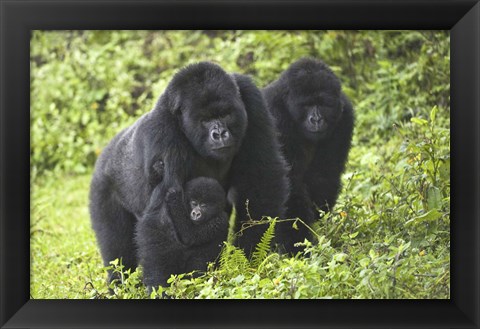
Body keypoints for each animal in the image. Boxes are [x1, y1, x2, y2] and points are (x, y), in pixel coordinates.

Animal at [89, 62, 288, 284]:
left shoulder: (251, 96)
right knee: (117, 251)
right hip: (101, 185)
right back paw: (117, 283)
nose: (220, 134)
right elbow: (161, 219)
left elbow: (260, 177)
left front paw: (251, 256)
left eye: (225, 114)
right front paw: (162, 286)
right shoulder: (161, 129)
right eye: (205, 120)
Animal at [262, 58, 352, 254]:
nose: (316, 119)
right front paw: (296, 247)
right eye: (307, 104)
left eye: (324, 104)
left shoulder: (344, 115)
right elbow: (290, 184)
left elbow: (324, 176)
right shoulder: (275, 116)